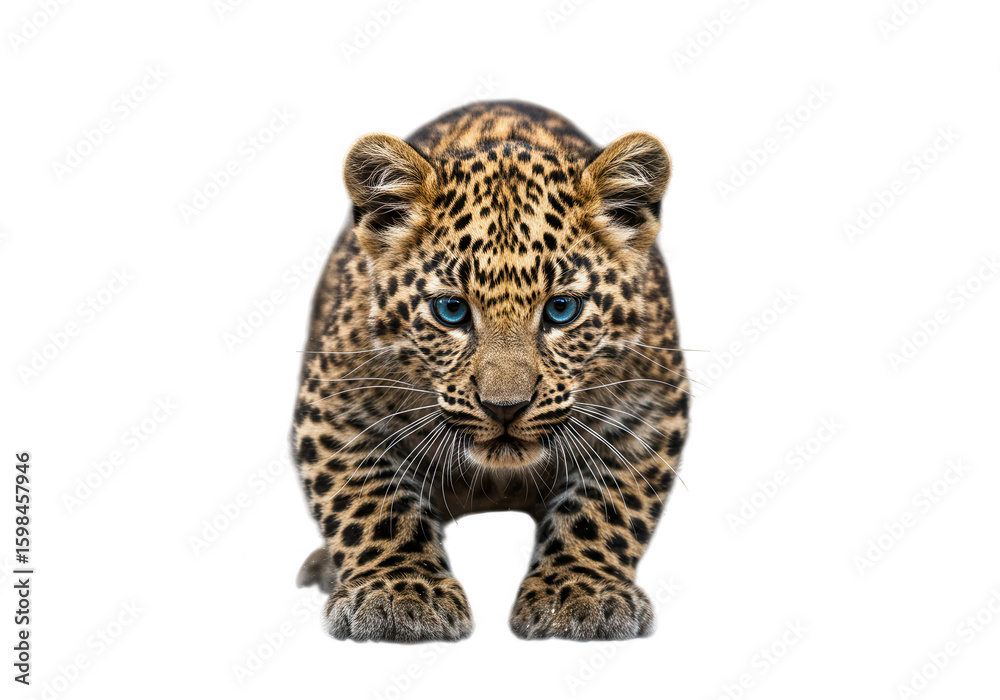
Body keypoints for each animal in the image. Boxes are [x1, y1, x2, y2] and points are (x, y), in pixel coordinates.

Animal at [292, 100, 690, 643]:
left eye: (561, 309)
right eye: (451, 311)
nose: (505, 408)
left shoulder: (651, 408)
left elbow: (607, 506)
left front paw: (579, 593)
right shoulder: (333, 404)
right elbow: (371, 503)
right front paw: (399, 594)